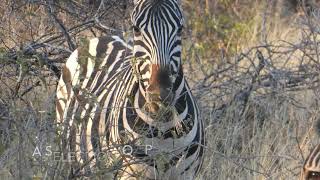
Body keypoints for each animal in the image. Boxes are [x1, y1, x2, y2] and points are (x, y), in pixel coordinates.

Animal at [55, 0, 205, 179]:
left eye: (180, 28)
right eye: (136, 28)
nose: (160, 96)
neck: (163, 131)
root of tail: (102, 37)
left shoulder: (187, 174)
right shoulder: (131, 172)